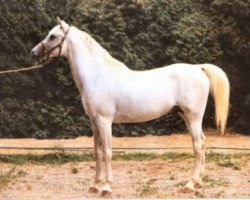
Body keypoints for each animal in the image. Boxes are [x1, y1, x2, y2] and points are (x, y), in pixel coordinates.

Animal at [31, 18, 230, 197]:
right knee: (203, 142)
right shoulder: (94, 123)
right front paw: (95, 186)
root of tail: (199, 68)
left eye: (53, 36)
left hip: (193, 116)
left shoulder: (105, 122)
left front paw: (106, 188)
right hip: (188, 117)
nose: (34, 53)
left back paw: (190, 184)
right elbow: (97, 152)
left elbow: (107, 153)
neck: (97, 77)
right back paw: (199, 183)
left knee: (198, 145)